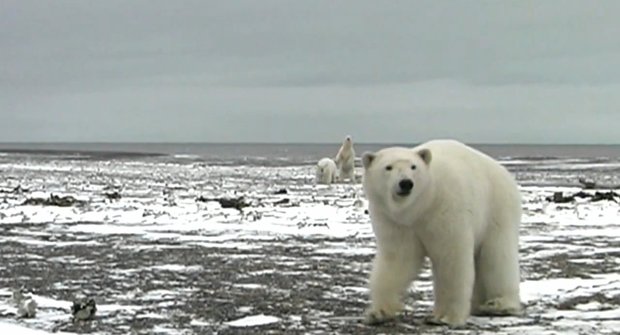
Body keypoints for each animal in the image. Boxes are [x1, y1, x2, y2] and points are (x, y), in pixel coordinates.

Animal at [358, 139, 524, 328]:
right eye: (388, 167)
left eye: (413, 166)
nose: (406, 183)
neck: (421, 206)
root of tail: (504, 172)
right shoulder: (395, 222)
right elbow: (398, 260)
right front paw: (378, 313)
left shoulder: (445, 208)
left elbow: (451, 258)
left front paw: (444, 317)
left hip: (497, 208)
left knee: (497, 255)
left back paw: (499, 304)